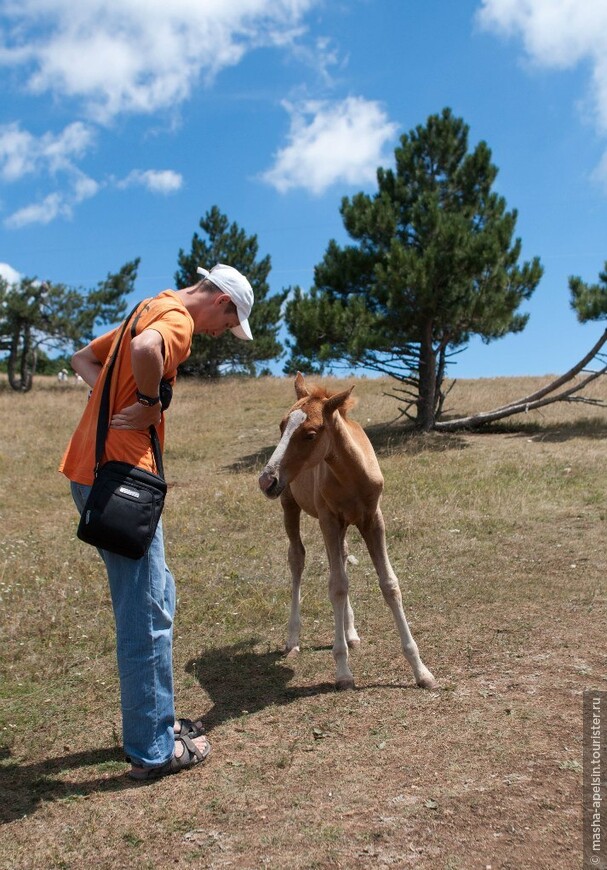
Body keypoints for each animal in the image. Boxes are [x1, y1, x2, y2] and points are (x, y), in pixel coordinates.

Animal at [256, 374, 436, 696]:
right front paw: (343, 672)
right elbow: (337, 586)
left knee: (340, 557)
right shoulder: (328, 520)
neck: (352, 475)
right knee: (297, 558)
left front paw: (422, 671)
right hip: (291, 505)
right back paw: (293, 639)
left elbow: (389, 584)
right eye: (281, 426)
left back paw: (350, 632)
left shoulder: (373, 520)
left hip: (343, 526)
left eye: (310, 434)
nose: (266, 480)